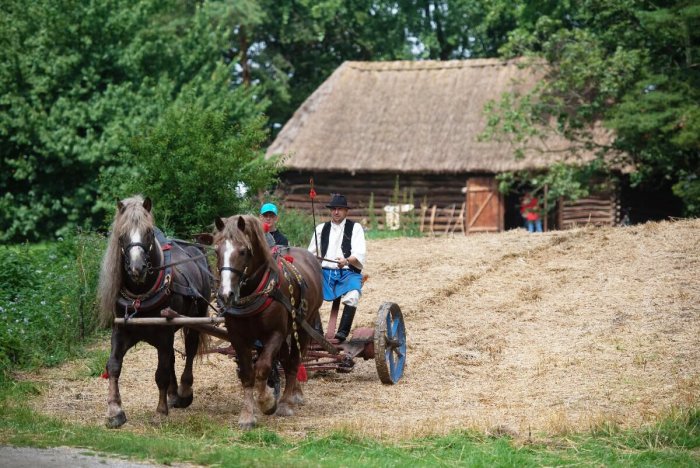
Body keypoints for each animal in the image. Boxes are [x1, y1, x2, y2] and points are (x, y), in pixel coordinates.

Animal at [96, 195, 211, 428]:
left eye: (148, 232)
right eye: (122, 234)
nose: (137, 268)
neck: (140, 296)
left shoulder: (163, 334)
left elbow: (161, 372)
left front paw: (160, 412)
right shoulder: (121, 330)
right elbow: (113, 366)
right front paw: (114, 410)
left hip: (195, 318)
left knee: (190, 350)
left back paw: (184, 391)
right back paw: (174, 394)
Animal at [213, 215, 322, 428]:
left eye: (243, 251)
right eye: (217, 251)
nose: (225, 294)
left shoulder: (275, 334)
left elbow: (262, 368)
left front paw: (268, 402)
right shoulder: (237, 337)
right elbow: (248, 373)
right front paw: (247, 415)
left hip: (304, 325)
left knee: (295, 361)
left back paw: (287, 402)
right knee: (287, 361)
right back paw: (293, 393)